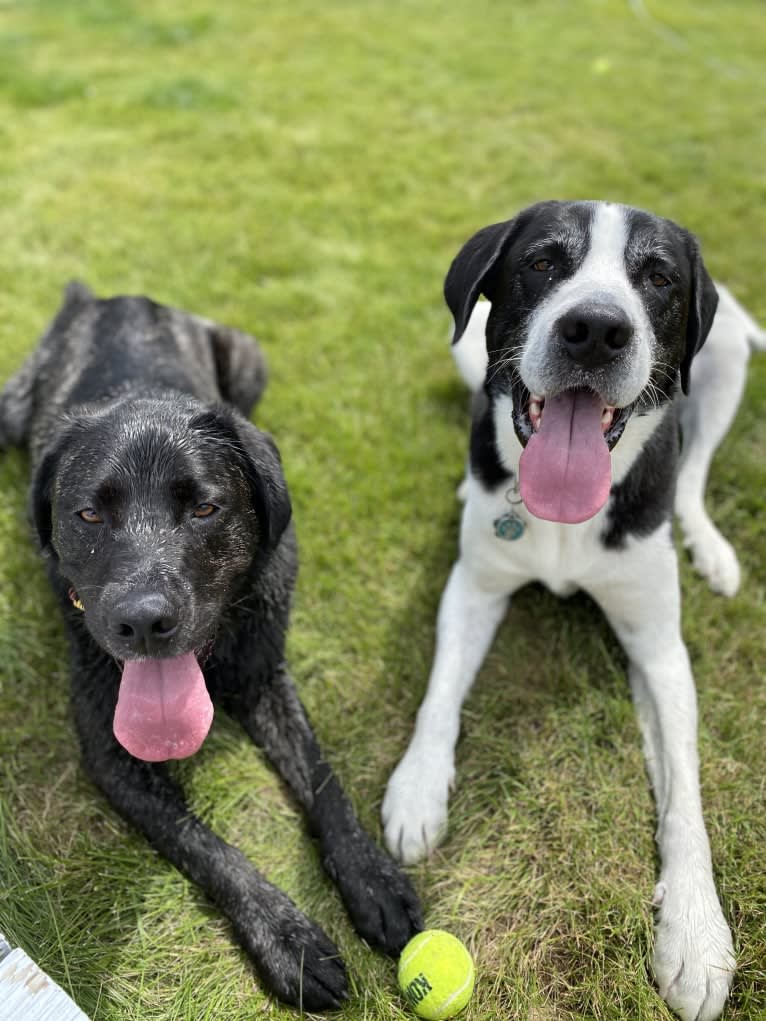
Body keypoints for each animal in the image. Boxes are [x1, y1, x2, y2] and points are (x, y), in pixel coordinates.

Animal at [0, 281, 420, 1012]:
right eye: (89, 513)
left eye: (204, 508)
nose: (144, 622)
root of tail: (106, 294)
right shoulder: (112, 756)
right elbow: (208, 847)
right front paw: (289, 939)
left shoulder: (267, 674)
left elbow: (324, 779)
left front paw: (373, 879)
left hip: (248, 361)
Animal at [381, 201, 763, 1021]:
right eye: (542, 262)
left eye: (659, 277)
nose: (594, 329)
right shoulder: (474, 588)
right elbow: (439, 693)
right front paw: (418, 787)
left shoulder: (659, 648)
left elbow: (685, 792)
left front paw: (695, 930)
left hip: (723, 371)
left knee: (693, 472)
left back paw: (712, 548)